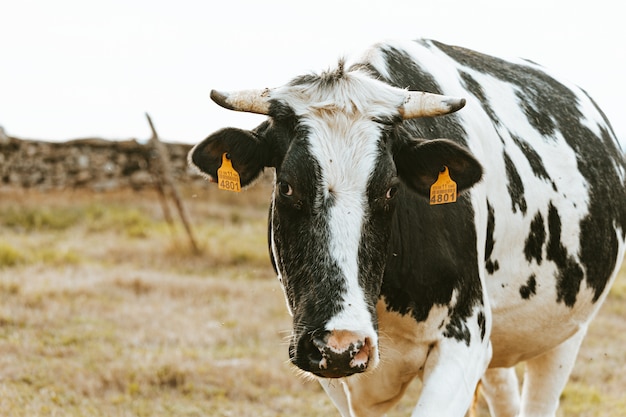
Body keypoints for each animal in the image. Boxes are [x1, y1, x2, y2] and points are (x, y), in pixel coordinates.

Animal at [186, 37, 624, 414]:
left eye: (390, 189)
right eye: (287, 185)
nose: (343, 344)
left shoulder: (464, 337)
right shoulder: (328, 361)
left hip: (564, 335)